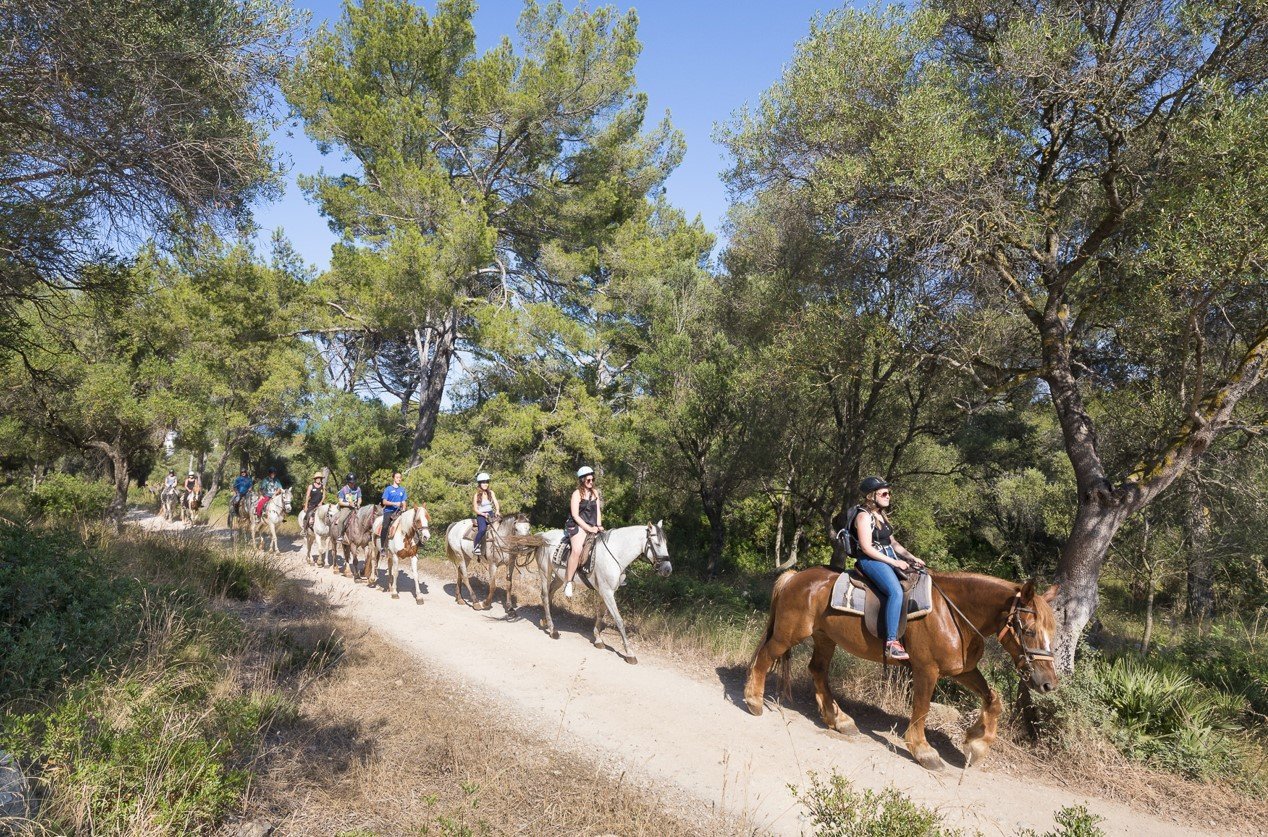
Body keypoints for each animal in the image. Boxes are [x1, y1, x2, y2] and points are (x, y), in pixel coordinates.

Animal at [533, 521, 671, 664]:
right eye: (657, 544)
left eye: (666, 543)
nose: (667, 569)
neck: (616, 553)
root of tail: (543, 535)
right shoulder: (607, 592)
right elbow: (619, 620)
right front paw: (629, 653)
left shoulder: (605, 592)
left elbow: (600, 614)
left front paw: (598, 639)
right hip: (545, 572)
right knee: (545, 596)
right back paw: (552, 630)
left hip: (560, 577)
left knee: (550, 593)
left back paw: (545, 621)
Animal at [744, 566, 1060, 771]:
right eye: (1029, 630)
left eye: (1053, 632)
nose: (1048, 683)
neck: (953, 614)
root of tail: (795, 576)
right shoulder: (927, 670)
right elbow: (921, 708)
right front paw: (924, 751)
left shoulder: (962, 670)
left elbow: (994, 699)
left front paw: (976, 745)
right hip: (789, 634)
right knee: (765, 657)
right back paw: (753, 700)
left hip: (824, 637)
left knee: (817, 670)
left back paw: (839, 719)